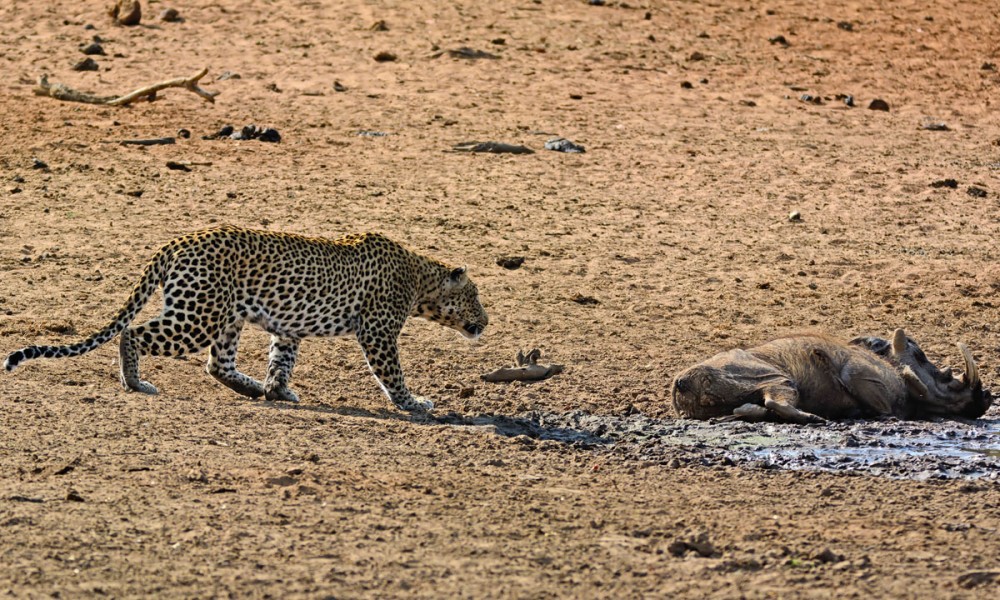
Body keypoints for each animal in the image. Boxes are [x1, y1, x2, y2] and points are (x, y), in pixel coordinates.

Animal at [3, 225, 488, 412]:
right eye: (475, 297)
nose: (486, 321)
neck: (420, 279)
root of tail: (178, 241)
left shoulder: (289, 328)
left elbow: (281, 361)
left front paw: (277, 390)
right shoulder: (378, 332)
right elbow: (393, 374)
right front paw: (414, 403)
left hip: (225, 317)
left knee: (217, 364)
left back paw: (251, 387)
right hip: (196, 316)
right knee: (133, 334)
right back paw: (135, 382)